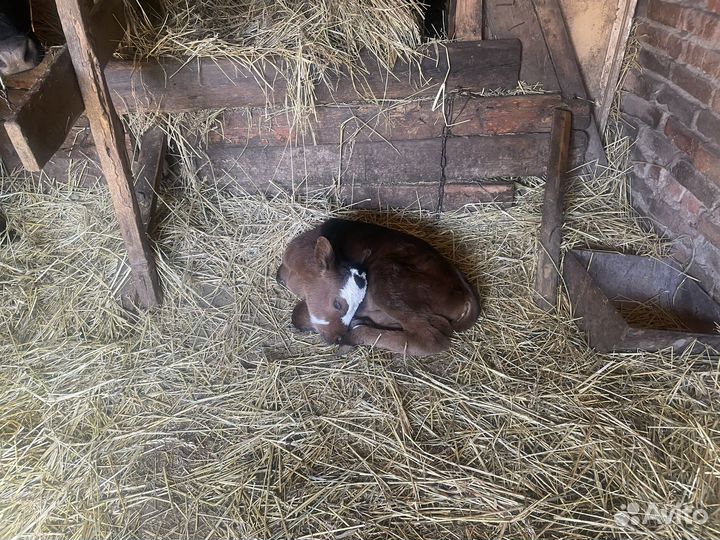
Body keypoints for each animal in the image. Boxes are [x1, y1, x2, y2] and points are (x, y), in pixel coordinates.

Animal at [276, 218, 480, 356]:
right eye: (338, 304)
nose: (338, 338)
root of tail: (466, 291)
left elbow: (298, 313)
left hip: (386, 276)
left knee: (431, 339)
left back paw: (356, 335)